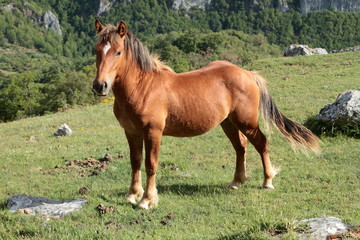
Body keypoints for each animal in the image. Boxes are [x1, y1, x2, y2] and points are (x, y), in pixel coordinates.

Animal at [91, 19, 320, 209]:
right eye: (97, 50)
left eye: (118, 52)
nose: (100, 86)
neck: (143, 87)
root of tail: (247, 74)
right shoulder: (131, 132)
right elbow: (135, 162)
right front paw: (132, 195)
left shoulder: (153, 132)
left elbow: (150, 164)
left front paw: (146, 200)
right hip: (228, 123)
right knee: (241, 147)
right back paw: (236, 181)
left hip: (247, 122)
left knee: (261, 143)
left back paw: (267, 181)